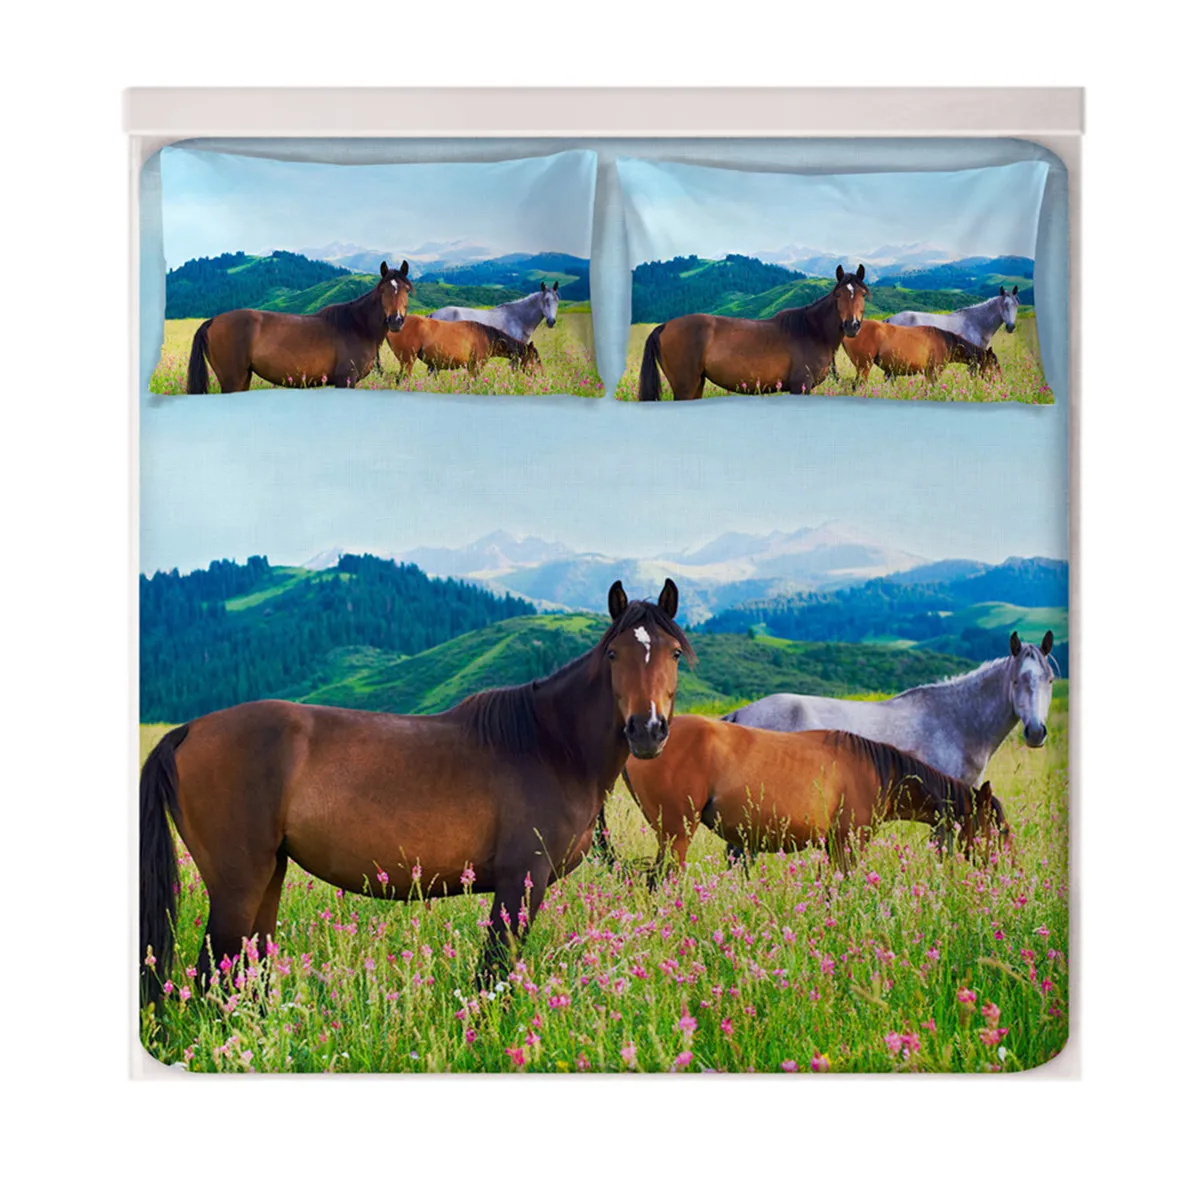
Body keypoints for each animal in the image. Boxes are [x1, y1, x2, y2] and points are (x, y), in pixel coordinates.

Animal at [139, 580, 694, 1002]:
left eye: (673, 654)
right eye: (615, 653)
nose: (647, 731)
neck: (550, 744)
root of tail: (188, 730)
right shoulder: (521, 881)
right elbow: (494, 975)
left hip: (267, 876)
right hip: (236, 886)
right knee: (212, 977)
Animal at [187, 261, 414, 393]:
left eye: (406, 290)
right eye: (383, 290)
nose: (395, 320)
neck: (357, 326)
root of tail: (212, 321)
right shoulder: (346, 379)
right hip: (232, 380)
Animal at [621, 716, 1007, 876]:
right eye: (1001, 831)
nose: (1008, 869)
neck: (878, 772)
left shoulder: (833, 846)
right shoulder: (848, 843)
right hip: (676, 835)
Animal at [637, 264, 868, 401]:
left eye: (863, 294)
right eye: (838, 295)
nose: (852, 325)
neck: (812, 331)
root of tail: (664, 326)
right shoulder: (800, 386)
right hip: (685, 387)